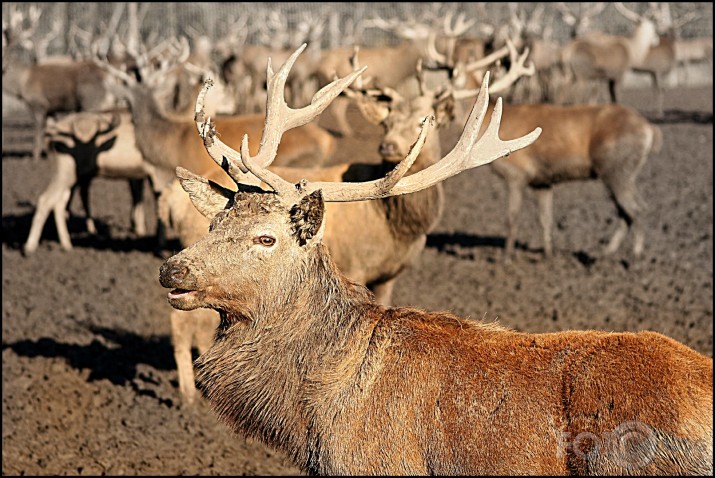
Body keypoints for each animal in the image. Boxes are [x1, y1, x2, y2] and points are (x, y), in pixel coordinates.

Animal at [22, 110, 151, 256]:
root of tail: (52, 131)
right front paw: (141, 230)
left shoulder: (139, 174)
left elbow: (138, 197)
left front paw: (139, 229)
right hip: (65, 171)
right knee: (46, 200)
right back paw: (29, 247)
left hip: (71, 176)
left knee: (59, 203)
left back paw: (67, 244)